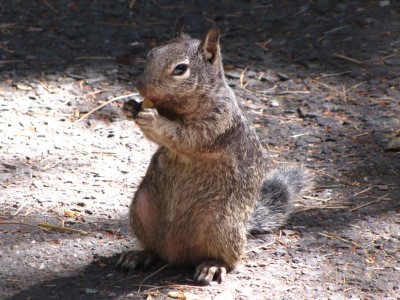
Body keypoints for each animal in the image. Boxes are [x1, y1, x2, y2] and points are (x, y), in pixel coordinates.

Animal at [116, 17, 312, 284]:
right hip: (141, 209)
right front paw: (130, 106)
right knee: (154, 248)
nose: (141, 87)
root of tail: (176, 255)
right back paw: (140, 255)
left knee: (229, 258)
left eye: (180, 69)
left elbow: (185, 137)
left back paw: (213, 266)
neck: (177, 109)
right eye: (150, 54)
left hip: (222, 224)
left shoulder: (218, 121)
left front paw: (152, 118)